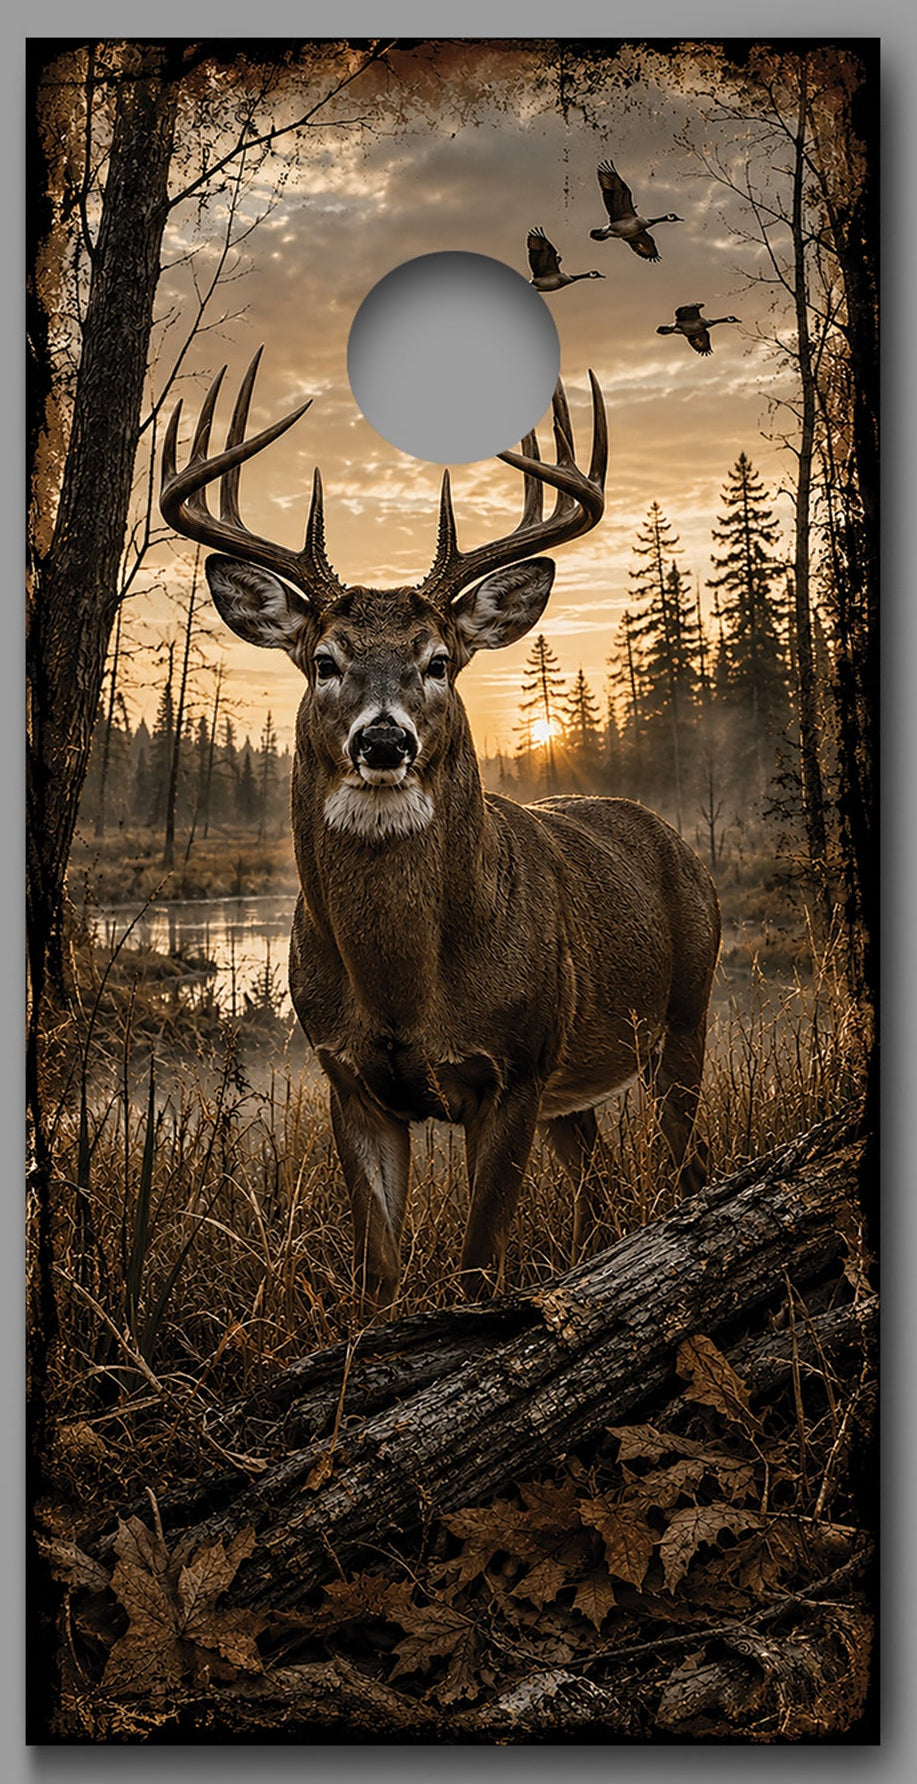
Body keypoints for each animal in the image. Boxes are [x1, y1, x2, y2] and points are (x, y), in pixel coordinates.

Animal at [160, 348, 721, 1312]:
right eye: (323, 661)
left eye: (438, 662)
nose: (384, 741)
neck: (403, 985)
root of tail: (677, 845)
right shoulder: (348, 1079)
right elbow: (378, 1275)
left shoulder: (515, 1070)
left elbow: (476, 1266)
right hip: (578, 1090)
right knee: (603, 1195)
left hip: (682, 1018)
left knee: (689, 1168)